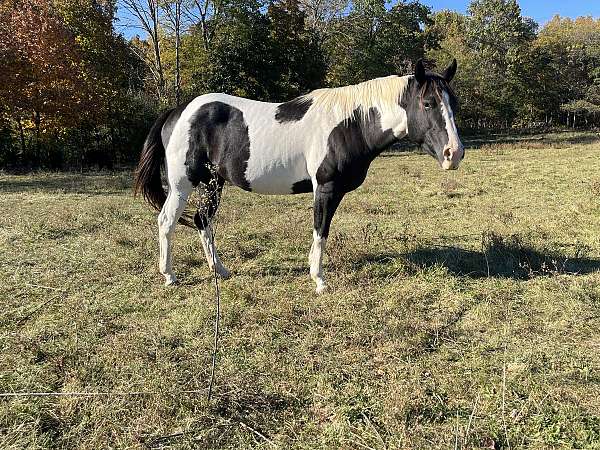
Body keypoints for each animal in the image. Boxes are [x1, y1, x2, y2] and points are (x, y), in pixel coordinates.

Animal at [135, 58, 464, 294]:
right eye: (427, 103)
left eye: (454, 104)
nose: (454, 153)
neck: (350, 123)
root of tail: (178, 111)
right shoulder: (326, 188)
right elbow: (321, 230)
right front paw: (319, 280)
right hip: (183, 184)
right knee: (167, 221)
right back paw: (170, 275)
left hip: (212, 183)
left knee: (203, 221)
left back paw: (221, 271)